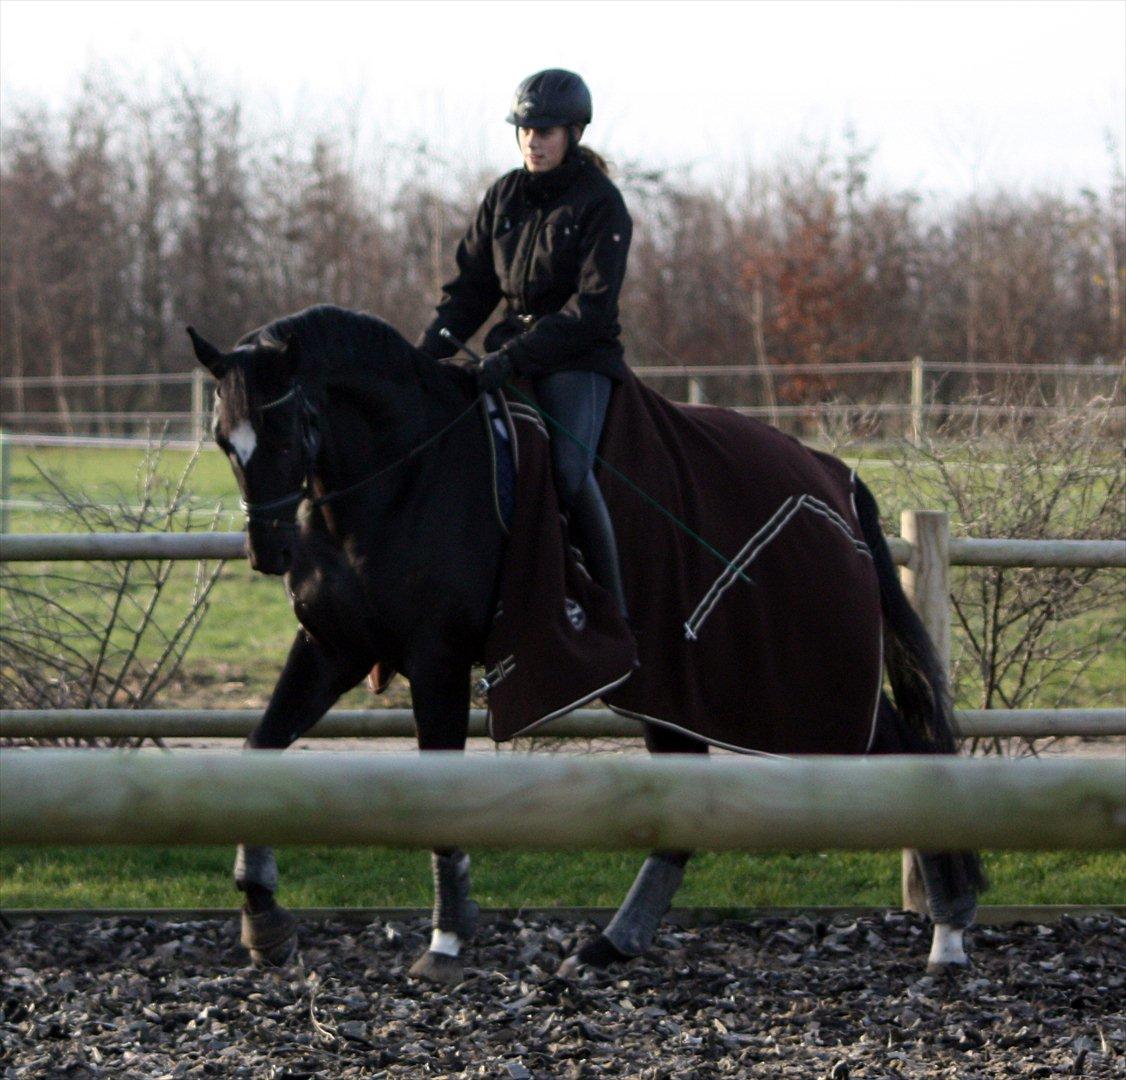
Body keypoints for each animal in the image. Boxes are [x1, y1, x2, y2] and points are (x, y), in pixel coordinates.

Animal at [186, 306, 986, 986]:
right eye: (225, 440)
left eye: (285, 433)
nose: (268, 552)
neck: (404, 474)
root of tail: (838, 477)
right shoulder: (333, 649)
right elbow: (257, 752)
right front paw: (265, 923)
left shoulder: (436, 660)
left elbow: (438, 792)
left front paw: (446, 941)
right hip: (678, 690)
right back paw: (610, 945)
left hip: (804, 687)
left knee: (903, 752)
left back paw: (948, 935)